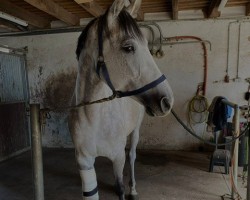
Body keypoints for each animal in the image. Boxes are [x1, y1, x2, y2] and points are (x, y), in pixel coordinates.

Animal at [68, 0, 174, 199]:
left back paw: (133, 189)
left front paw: (127, 190)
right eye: (129, 48)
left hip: (135, 132)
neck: (94, 117)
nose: (167, 101)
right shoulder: (84, 162)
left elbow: (120, 187)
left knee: (132, 156)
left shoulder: (117, 158)